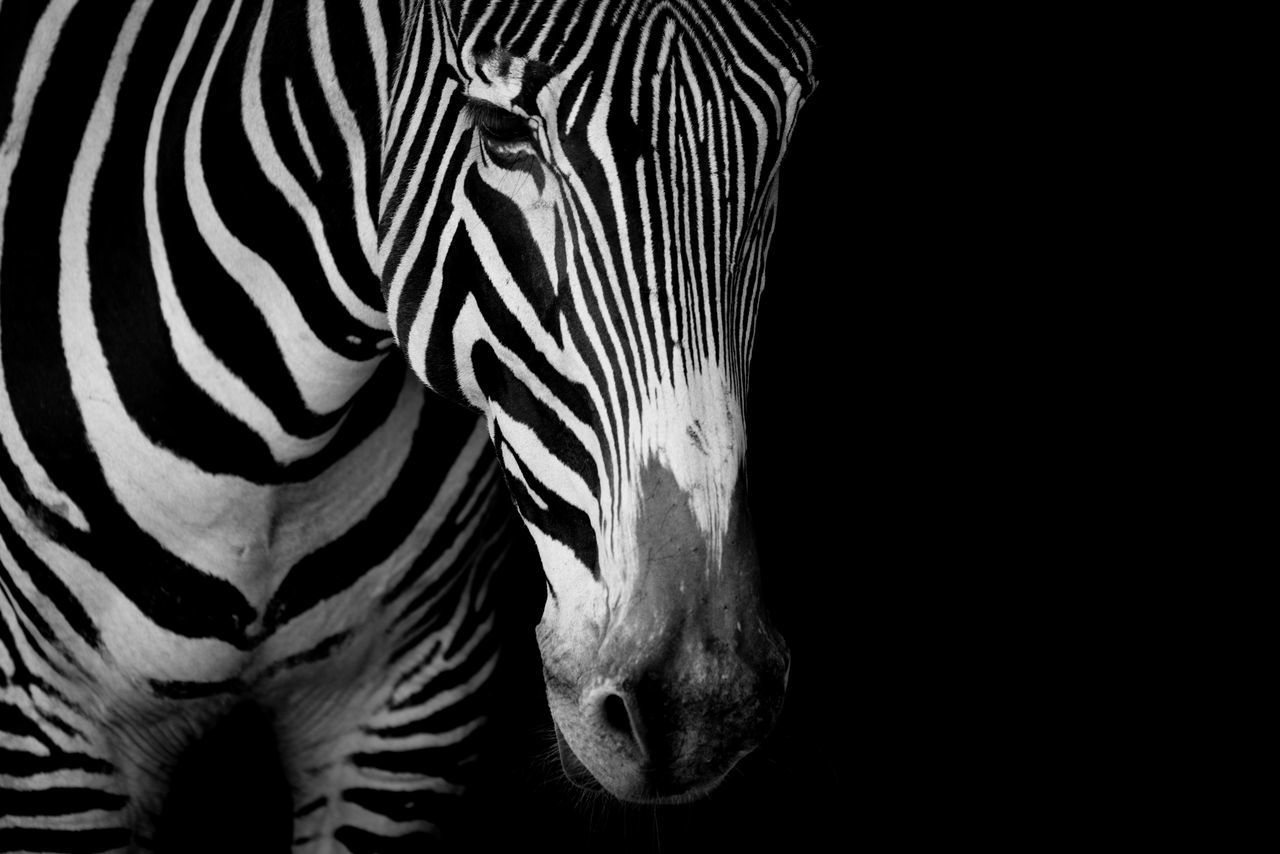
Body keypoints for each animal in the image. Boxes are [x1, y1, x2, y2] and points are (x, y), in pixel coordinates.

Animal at [0, 0, 814, 850]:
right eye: (499, 129)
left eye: (788, 127)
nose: (704, 704)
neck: (277, 452)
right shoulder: (52, 727)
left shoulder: (410, 712)